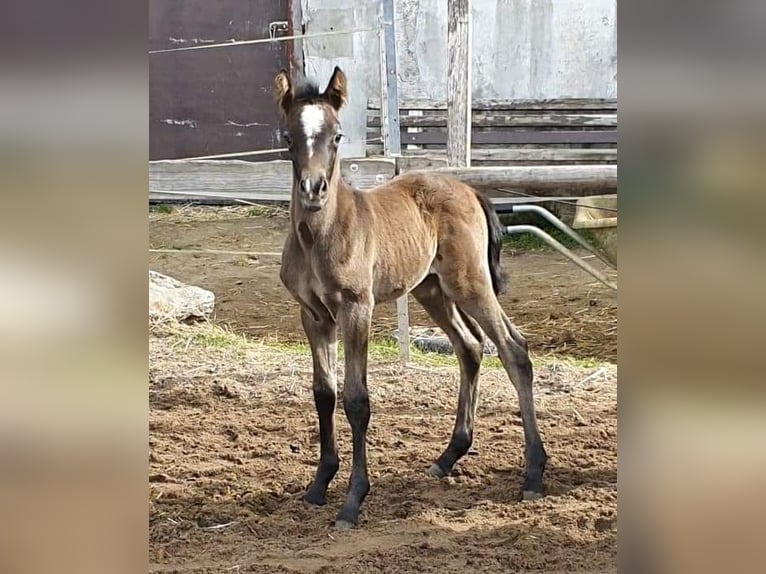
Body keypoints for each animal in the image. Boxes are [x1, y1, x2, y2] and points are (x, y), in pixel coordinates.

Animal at [276, 65, 544, 528]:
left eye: (337, 135)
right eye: (290, 137)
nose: (313, 189)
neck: (317, 237)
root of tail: (470, 190)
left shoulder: (356, 307)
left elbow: (356, 399)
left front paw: (353, 501)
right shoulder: (313, 314)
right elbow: (323, 393)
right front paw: (318, 485)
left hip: (470, 284)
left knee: (513, 348)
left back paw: (532, 474)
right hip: (432, 289)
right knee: (470, 346)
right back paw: (449, 456)